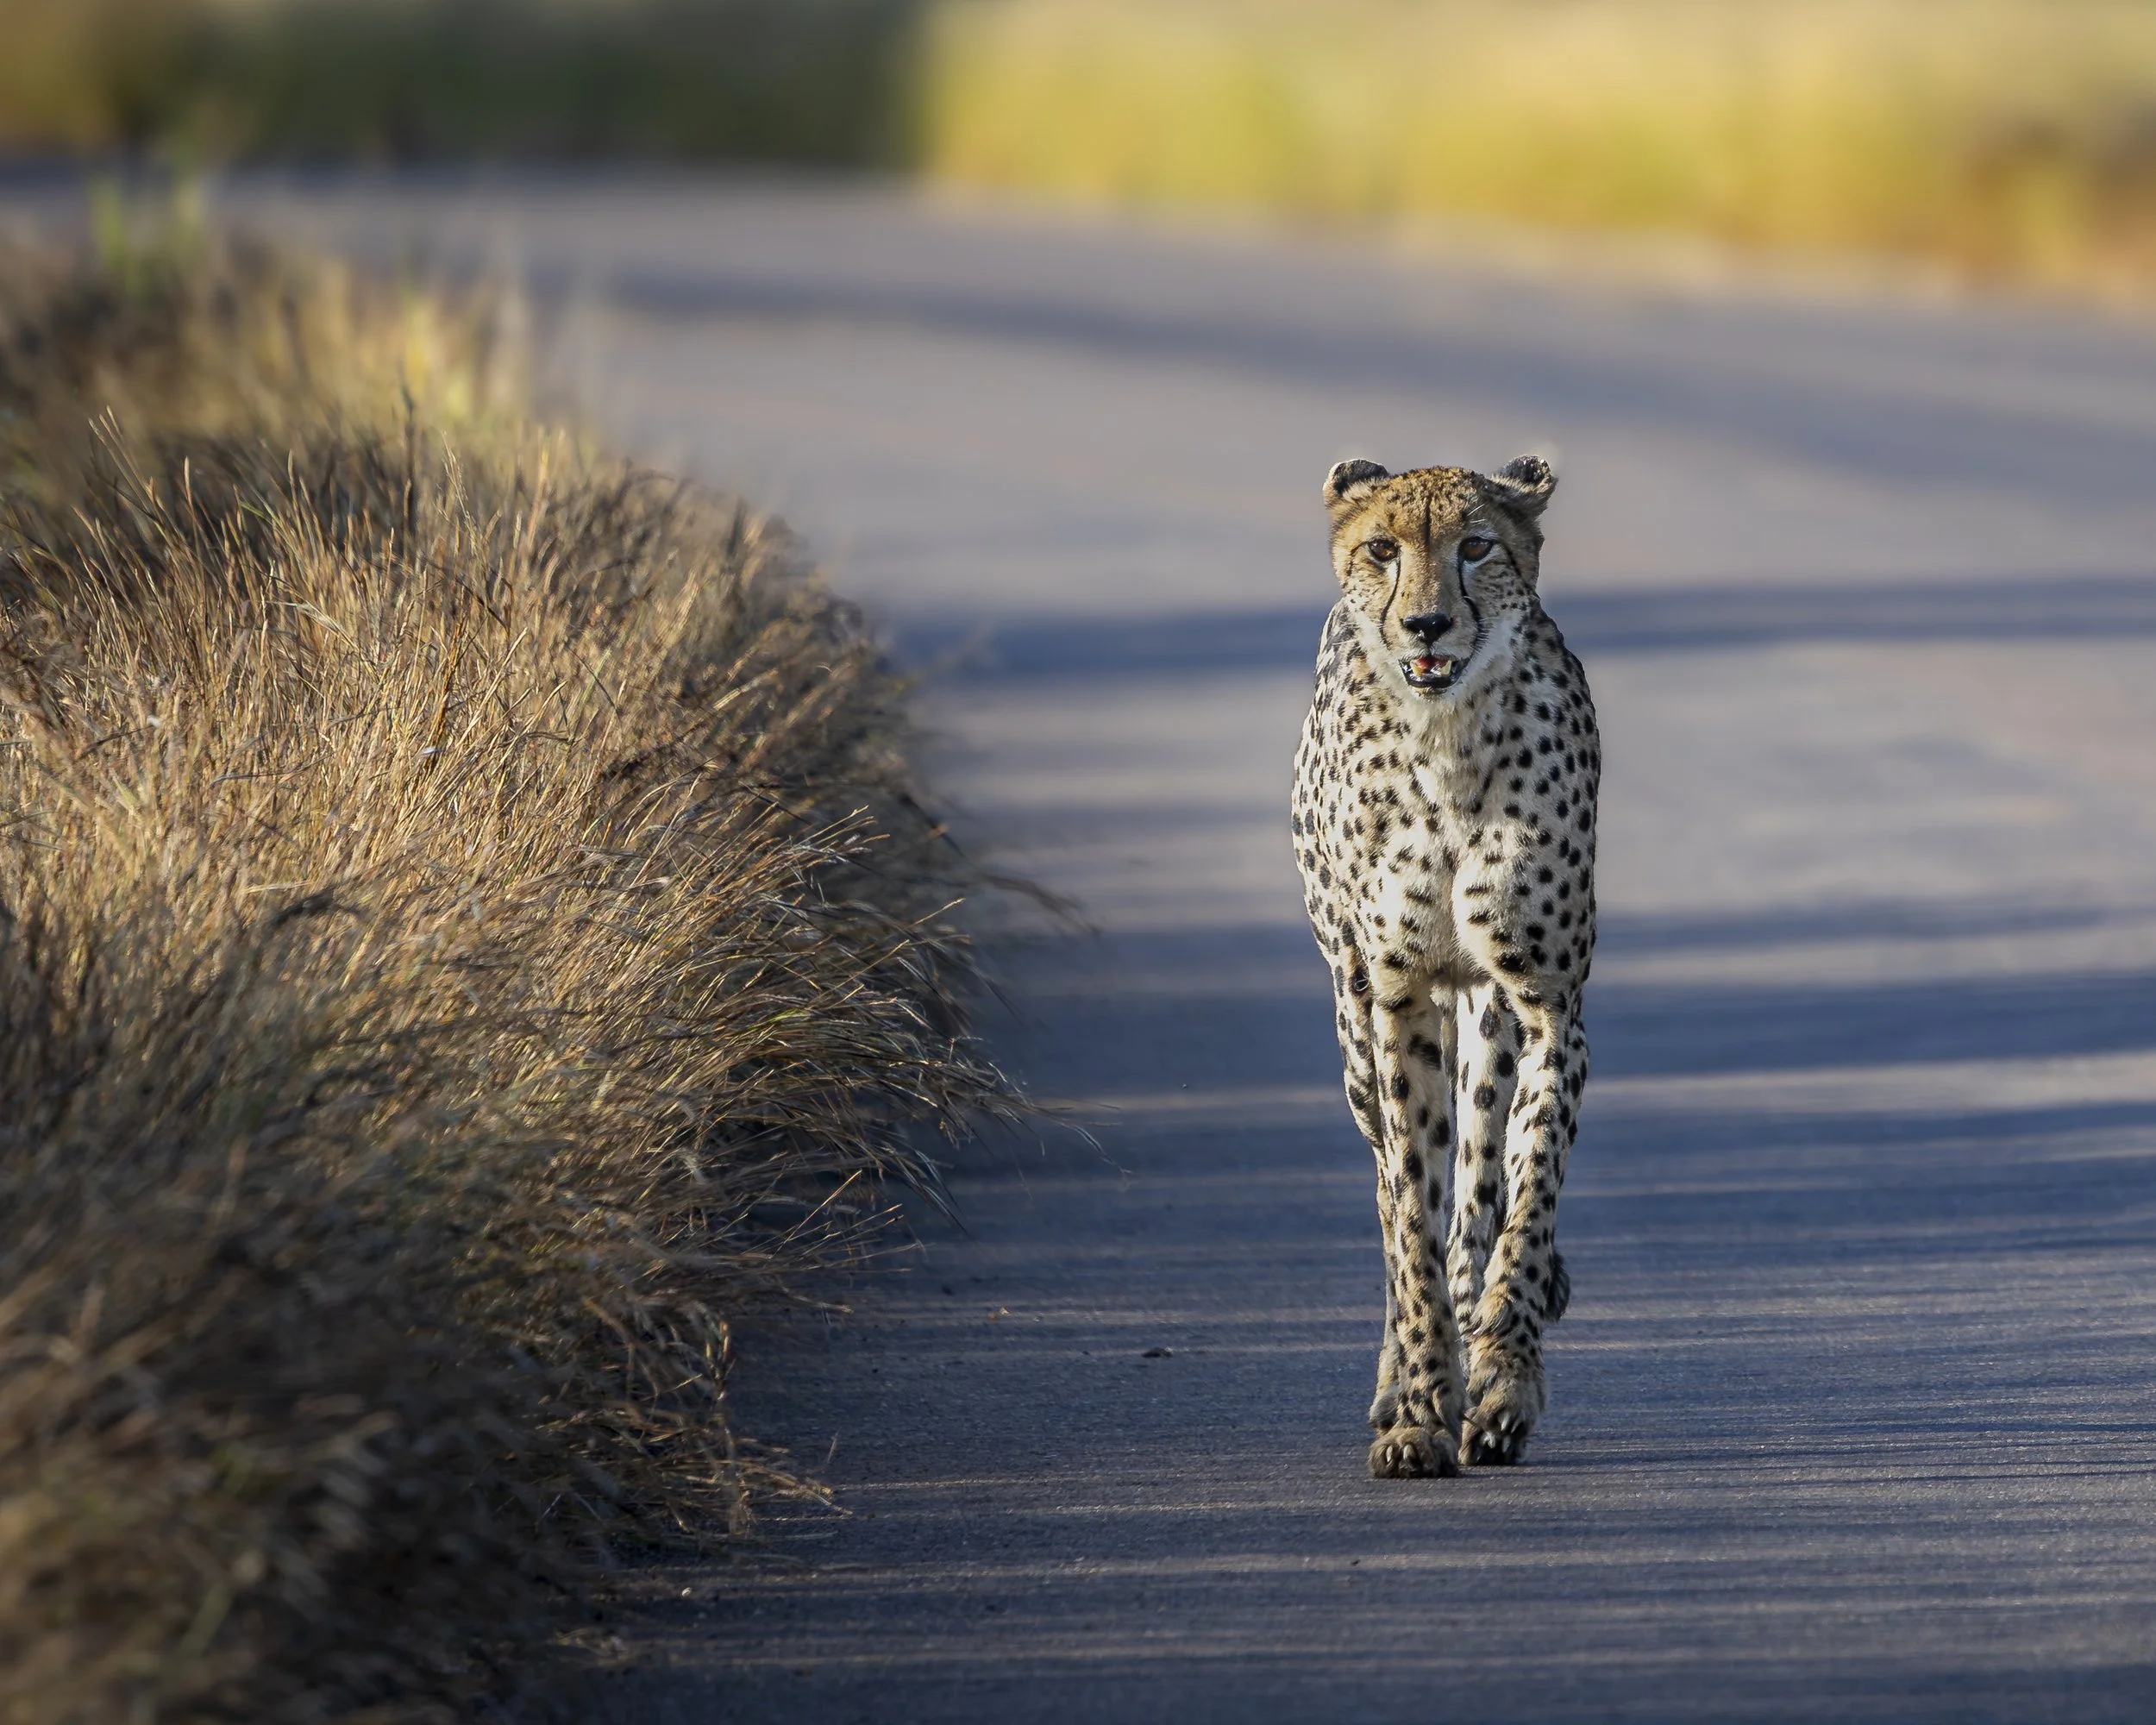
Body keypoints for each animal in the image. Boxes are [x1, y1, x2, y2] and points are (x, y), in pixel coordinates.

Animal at [1290, 453, 1598, 1479]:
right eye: (1385, 549)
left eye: (1476, 546)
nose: (1425, 623)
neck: (1449, 742)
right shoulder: (1397, 1002)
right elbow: (1409, 1225)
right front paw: (1423, 1404)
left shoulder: (1547, 1005)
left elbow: (1525, 1198)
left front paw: (1503, 1375)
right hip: (1353, 1029)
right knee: (1394, 1194)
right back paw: (1403, 1385)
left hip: (1488, 1022)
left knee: (1478, 1187)